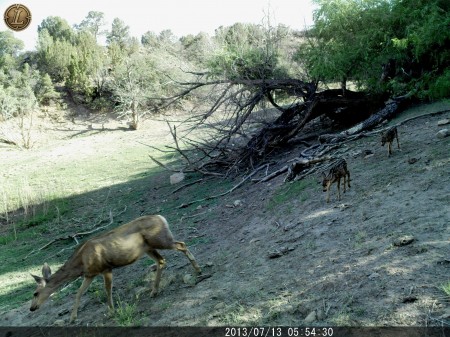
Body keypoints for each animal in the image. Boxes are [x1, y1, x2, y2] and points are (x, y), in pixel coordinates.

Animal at [29, 214, 201, 322]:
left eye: (35, 293)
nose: (32, 308)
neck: (81, 262)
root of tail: (162, 218)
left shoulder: (106, 268)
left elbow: (107, 289)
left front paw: (111, 311)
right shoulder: (90, 274)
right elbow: (79, 293)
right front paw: (73, 318)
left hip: (160, 240)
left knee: (181, 244)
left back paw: (197, 270)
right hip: (149, 248)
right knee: (162, 260)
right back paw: (154, 291)